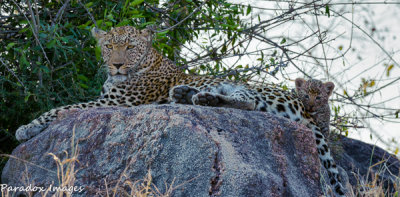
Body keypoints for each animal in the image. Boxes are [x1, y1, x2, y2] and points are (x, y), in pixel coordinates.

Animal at [16, 25, 344, 195]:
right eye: (109, 46)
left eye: (130, 47)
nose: (117, 64)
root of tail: (307, 108)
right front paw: (29, 127)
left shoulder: (117, 102)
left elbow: (63, 108)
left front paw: (27, 127)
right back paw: (187, 94)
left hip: (250, 89)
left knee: (249, 103)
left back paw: (200, 98)